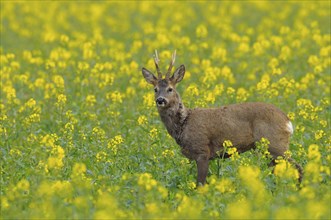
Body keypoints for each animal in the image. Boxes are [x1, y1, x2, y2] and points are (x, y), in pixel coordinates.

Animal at [141, 50, 302, 186]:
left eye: (170, 89)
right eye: (155, 89)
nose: (160, 100)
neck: (183, 124)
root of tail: (287, 121)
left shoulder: (202, 150)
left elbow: (200, 184)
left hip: (276, 144)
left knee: (298, 167)